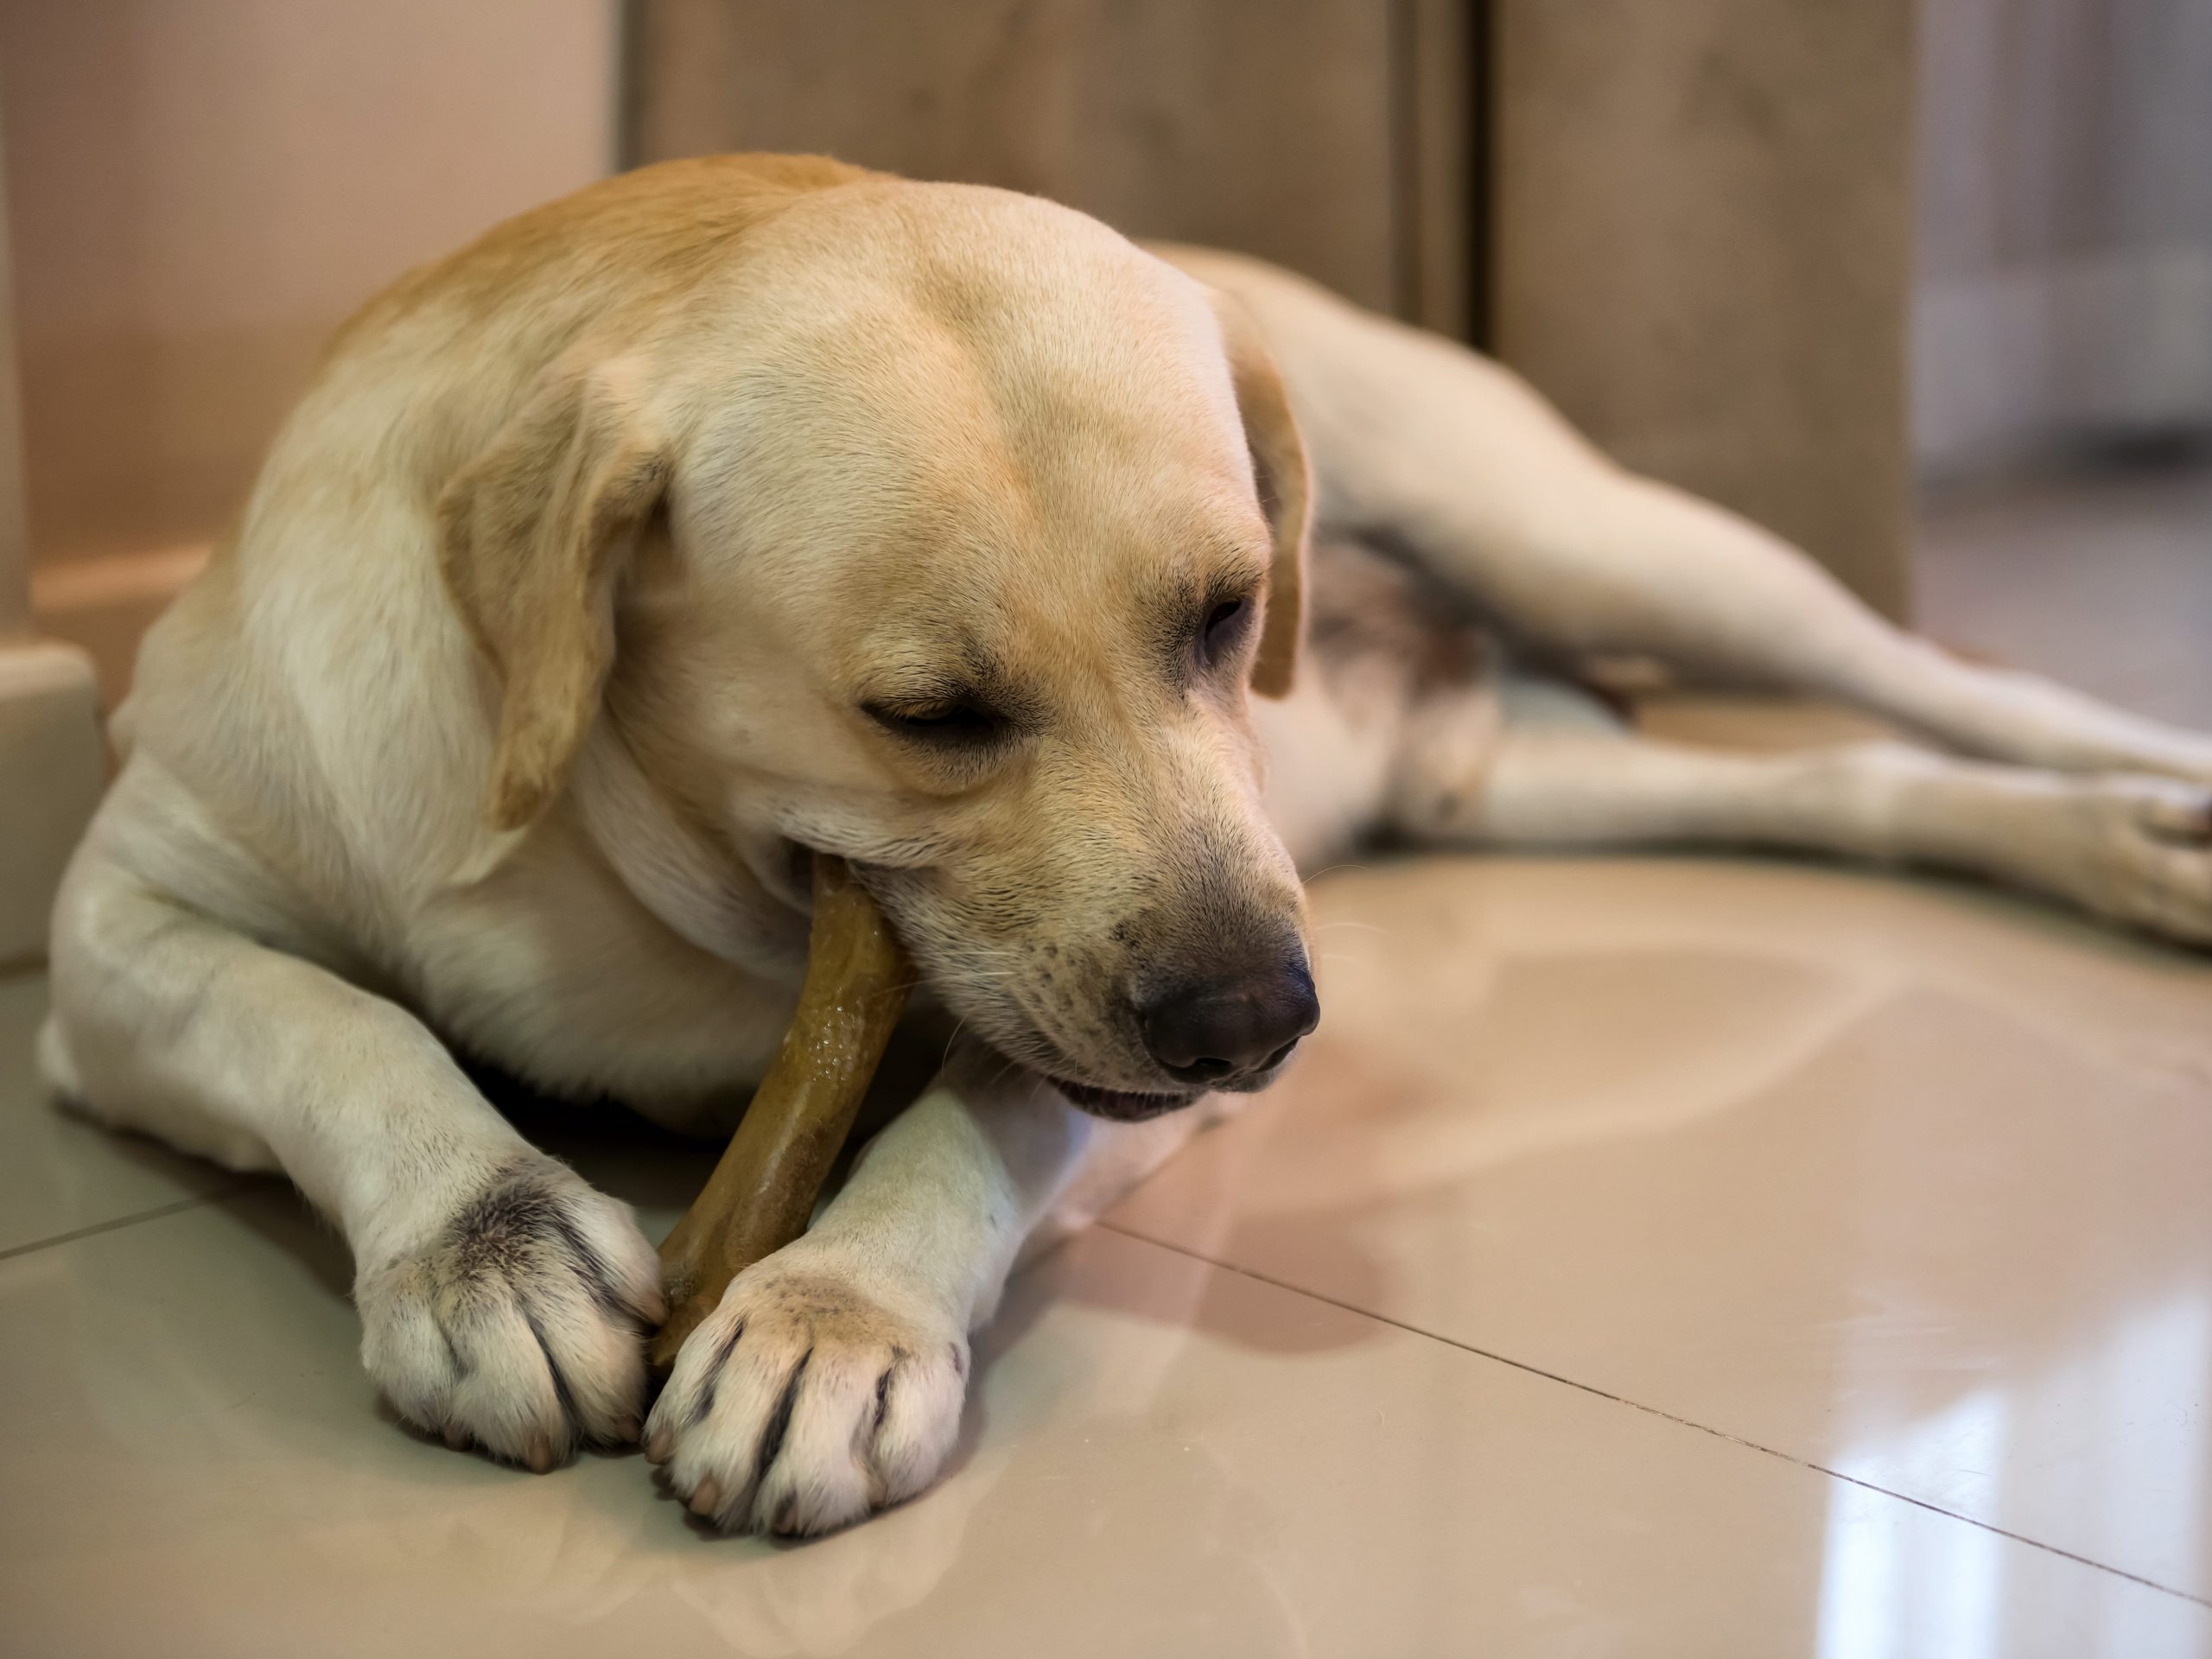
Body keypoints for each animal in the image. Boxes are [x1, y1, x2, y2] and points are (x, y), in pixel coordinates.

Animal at [35, 162, 2212, 1539]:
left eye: (1222, 616)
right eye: (926, 714)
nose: (1265, 1025)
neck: (644, 853)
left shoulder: (1108, 1044)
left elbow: (973, 1123)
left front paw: (833, 1317)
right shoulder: (126, 916)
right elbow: (329, 1022)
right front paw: (480, 1239)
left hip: (1611, 546)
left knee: (1948, 690)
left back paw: (2158, 791)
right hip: (1519, 781)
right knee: (1860, 779)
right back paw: (2109, 845)